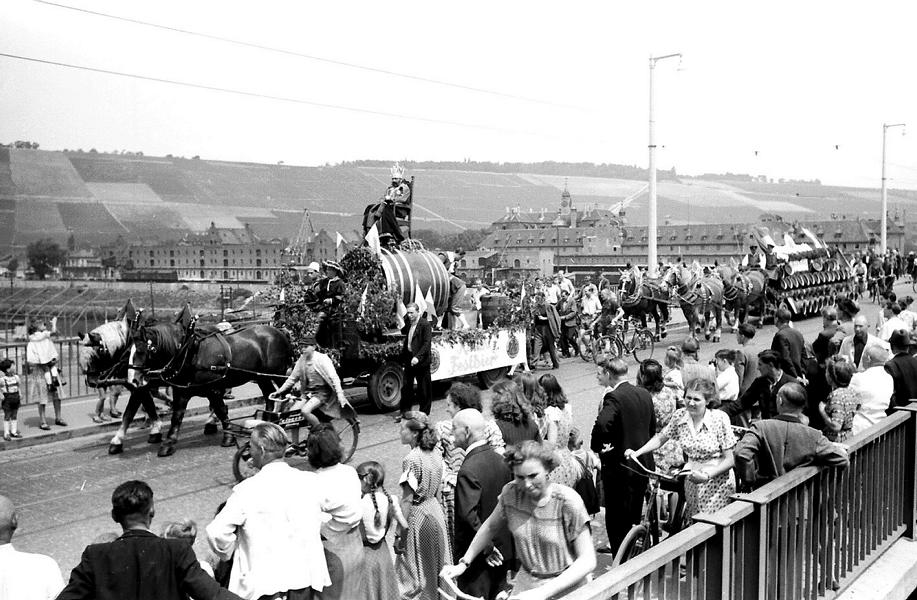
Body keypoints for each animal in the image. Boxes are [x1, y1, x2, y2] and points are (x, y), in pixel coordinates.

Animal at [127, 312, 292, 458]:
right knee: (269, 394)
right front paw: (168, 444)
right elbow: (177, 416)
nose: (133, 380)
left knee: (285, 390)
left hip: (276, 373)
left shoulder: (213, 389)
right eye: (128, 351)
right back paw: (266, 422)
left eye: (140, 351)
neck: (190, 353)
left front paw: (228, 437)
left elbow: (221, 410)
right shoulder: (182, 391)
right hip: (261, 377)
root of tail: (279, 332)